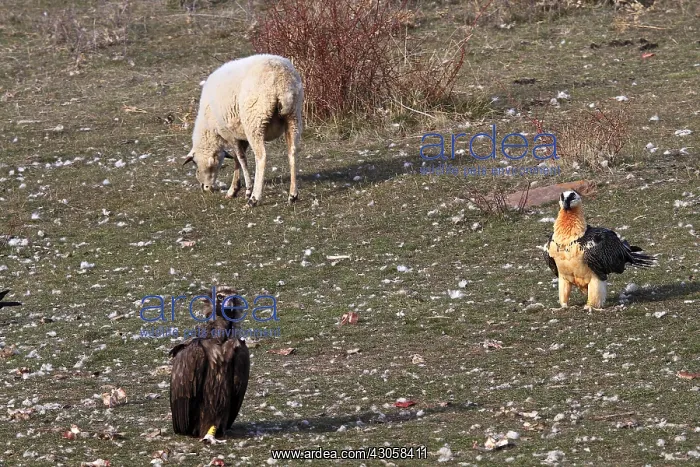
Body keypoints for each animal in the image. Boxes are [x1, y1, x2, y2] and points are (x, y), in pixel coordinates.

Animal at [182, 54, 304, 208]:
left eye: (195, 164)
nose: (205, 188)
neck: (210, 128)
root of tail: (281, 79)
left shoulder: (230, 134)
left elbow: (241, 158)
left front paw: (246, 189)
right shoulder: (240, 134)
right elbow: (236, 159)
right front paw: (235, 189)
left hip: (255, 121)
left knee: (261, 157)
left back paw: (254, 198)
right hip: (293, 117)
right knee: (292, 152)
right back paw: (293, 195)